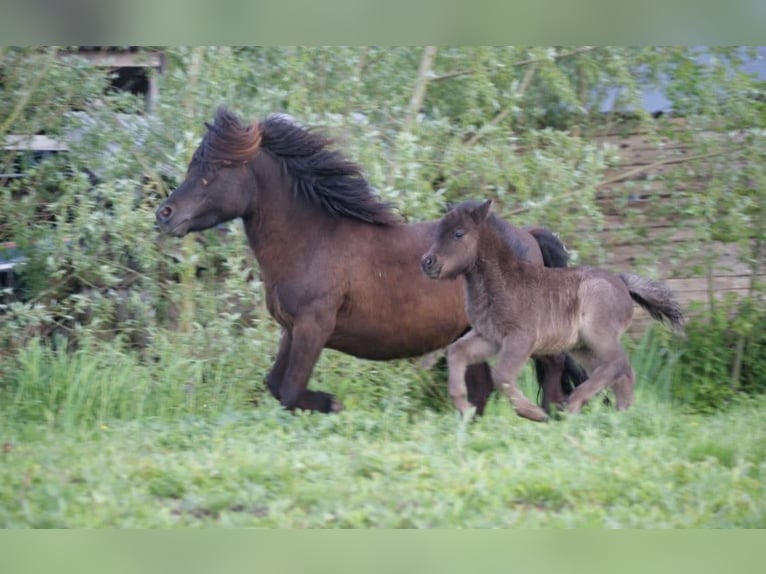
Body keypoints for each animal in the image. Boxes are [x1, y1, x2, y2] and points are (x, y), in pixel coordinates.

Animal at [155, 107, 584, 414]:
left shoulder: (314, 325)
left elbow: (291, 390)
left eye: (215, 169)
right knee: (481, 389)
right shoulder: (292, 328)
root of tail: (527, 236)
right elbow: (276, 386)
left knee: (551, 367)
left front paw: (333, 403)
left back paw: (552, 414)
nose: (165, 214)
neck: (311, 241)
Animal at [421, 199, 683, 421]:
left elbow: (501, 375)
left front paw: (533, 413)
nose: (427, 262)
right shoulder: (489, 337)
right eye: (438, 231)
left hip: (598, 335)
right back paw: (620, 416)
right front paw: (464, 407)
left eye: (458, 233)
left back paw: (574, 404)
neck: (502, 281)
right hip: (582, 346)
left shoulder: (521, 338)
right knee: (620, 371)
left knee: (616, 363)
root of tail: (622, 283)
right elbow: (457, 352)